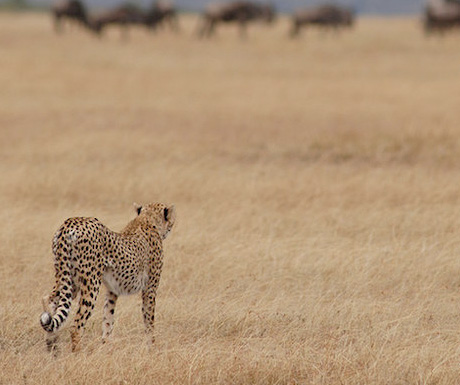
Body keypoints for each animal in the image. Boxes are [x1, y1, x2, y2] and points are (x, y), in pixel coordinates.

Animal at [39, 202, 175, 350]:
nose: (172, 224)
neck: (146, 220)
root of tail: (70, 223)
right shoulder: (149, 289)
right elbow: (149, 321)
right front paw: (152, 347)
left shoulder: (112, 290)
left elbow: (108, 319)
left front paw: (105, 346)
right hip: (90, 282)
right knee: (76, 325)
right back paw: (78, 352)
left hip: (68, 279)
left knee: (48, 300)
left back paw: (52, 346)